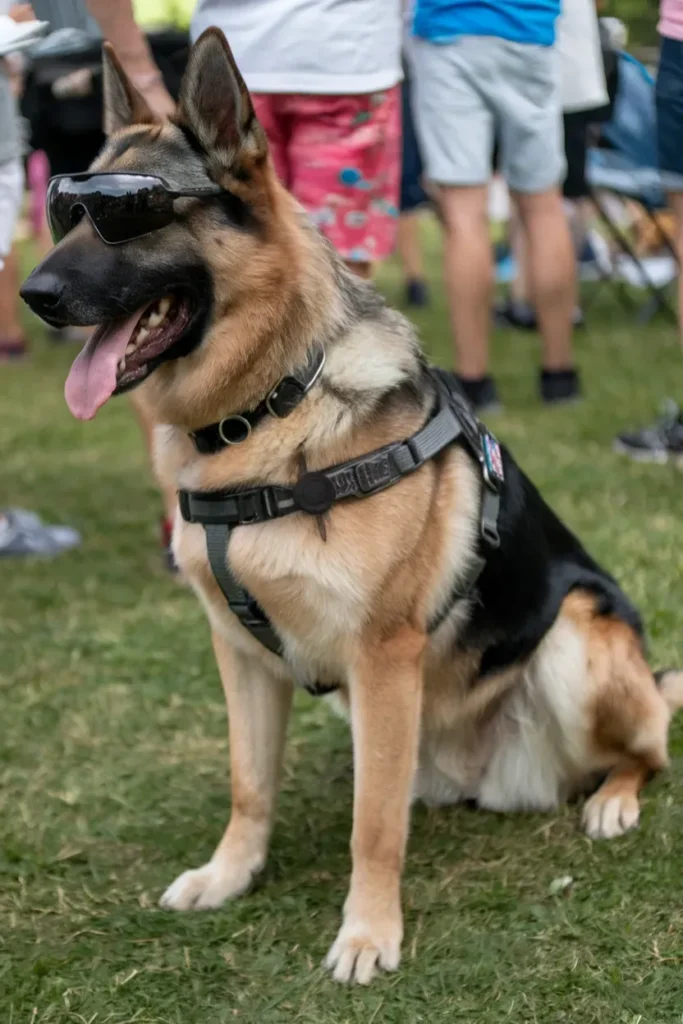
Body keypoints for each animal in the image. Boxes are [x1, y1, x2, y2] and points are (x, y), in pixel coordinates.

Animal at [21, 29, 683, 983]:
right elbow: (249, 783)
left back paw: (614, 800)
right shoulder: (239, 652)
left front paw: (368, 933)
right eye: (65, 211)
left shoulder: (380, 655)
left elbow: (372, 825)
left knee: (647, 748)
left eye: (131, 214)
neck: (262, 415)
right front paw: (229, 873)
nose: (32, 297)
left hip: (575, 641)